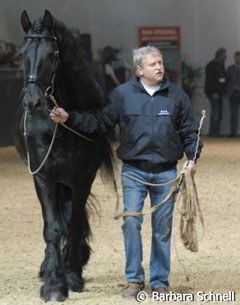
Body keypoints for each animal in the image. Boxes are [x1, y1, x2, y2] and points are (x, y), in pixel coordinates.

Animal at [13, 9, 114, 302]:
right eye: (21, 54)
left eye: (51, 54)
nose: (32, 102)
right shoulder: (43, 177)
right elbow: (53, 228)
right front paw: (54, 285)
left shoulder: (81, 178)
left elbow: (74, 223)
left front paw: (72, 276)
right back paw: (48, 267)